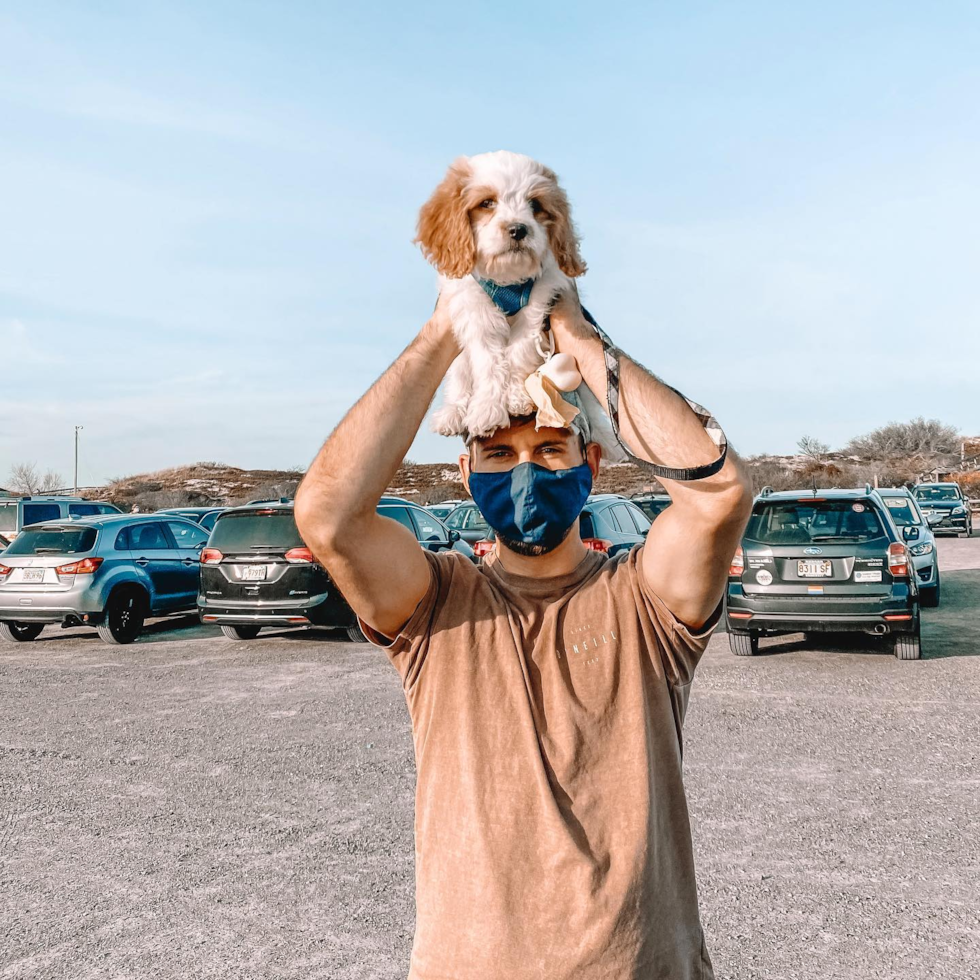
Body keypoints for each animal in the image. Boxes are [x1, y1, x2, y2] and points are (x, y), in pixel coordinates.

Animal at [416, 149, 616, 456]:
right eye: (487, 203)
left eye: (535, 205)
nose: (518, 229)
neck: (508, 279)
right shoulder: (473, 308)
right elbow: (488, 360)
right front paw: (487, 409)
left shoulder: (541, 300)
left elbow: (519, 350)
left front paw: (517, 398)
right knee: (459, 378)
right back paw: (452, 413)